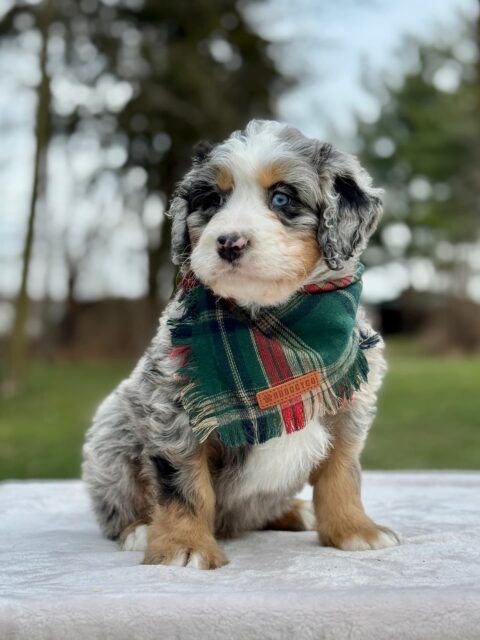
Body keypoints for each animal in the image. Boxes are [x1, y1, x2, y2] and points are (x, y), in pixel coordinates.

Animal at [83, 117, 402, 568]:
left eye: (282, 198)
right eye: (213, 200)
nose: (229, 242)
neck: (268, 319)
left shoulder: (348, 405)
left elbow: (342, 472)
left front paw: (355, 530)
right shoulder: (172, 408)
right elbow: (182, 485)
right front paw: (182, 547)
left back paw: (297, 512)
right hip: (111, 432)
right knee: (119, 505)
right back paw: (139, 530)